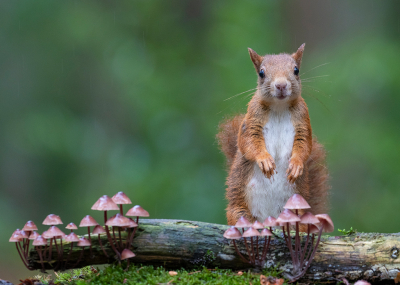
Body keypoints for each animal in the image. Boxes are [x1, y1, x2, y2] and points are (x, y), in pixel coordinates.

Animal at [217, 43, 330, 224]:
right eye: (261, 73)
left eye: (296, 70)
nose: (281, 85)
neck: (279, 107)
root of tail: (268, 219)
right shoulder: (252, 119)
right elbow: (248, 142)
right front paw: (265, 160)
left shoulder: (303, 120)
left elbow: (305, 144)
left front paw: (296, 165)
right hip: (239, 212)